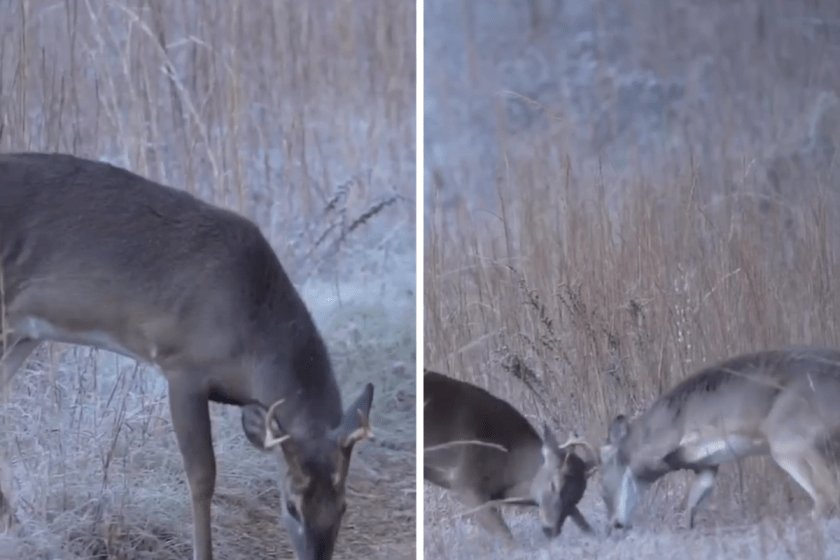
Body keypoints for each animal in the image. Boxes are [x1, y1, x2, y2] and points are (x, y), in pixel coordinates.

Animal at [424, 368, 592, 544]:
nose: (551, 530)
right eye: (554, 484)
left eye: (576, 497)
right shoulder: (463, 483)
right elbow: (507, 537)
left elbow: (580, 518)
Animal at [600, 346, 840, 532]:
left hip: (786, 441)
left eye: (603, 490)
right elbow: (692, 502)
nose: (615, 524)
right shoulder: (706, 467)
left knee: (827, 495)